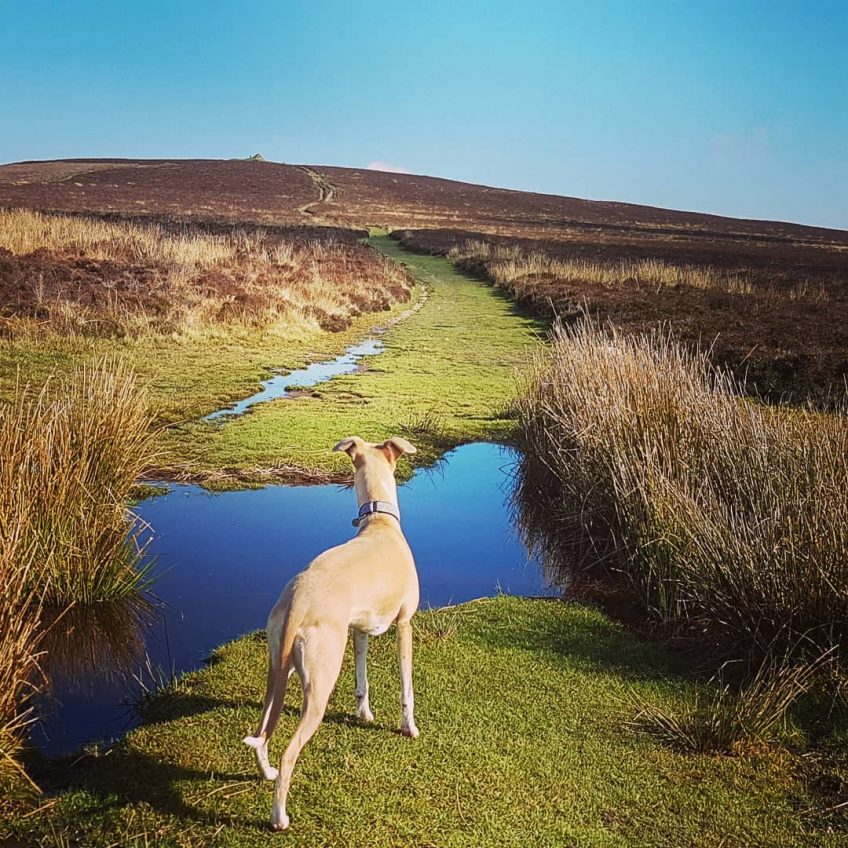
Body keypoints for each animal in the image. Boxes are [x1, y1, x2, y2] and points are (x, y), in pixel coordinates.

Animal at [243, 434, 420, 832]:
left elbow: (362, 680)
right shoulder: (404, 624)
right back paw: (279, 816)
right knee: (290, 752)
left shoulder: (359, 631)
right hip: (319, 684)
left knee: (262, 730)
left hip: (277, 670)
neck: (380, 522)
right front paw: (409, 727)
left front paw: (364, 714)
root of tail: (297, 598)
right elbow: (406, 687)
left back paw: (266, 772)